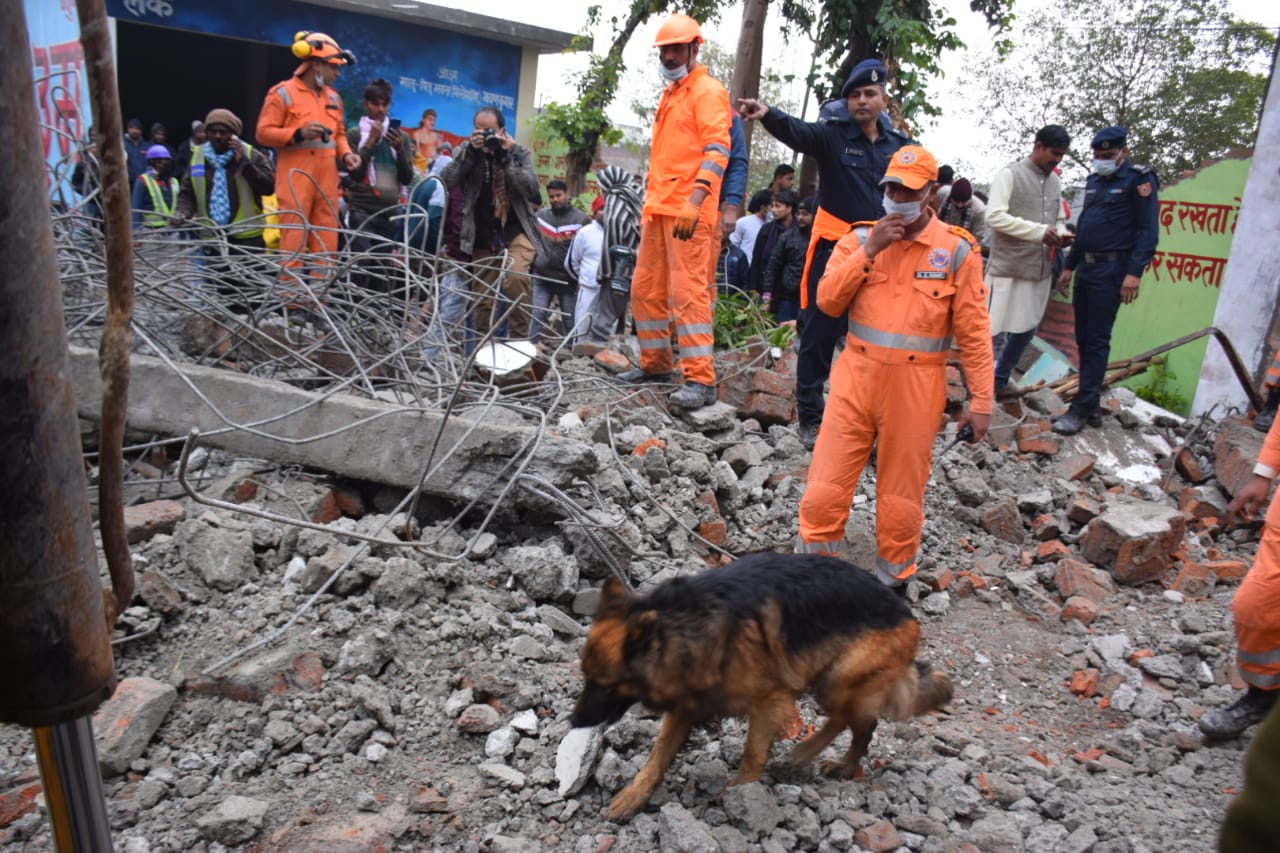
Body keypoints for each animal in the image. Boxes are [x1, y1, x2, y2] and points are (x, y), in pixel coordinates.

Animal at [570, 548, 952, 819]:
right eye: (585, 676)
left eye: (606, 685)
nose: (573, 721)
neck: (681, 625)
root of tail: (906, 615)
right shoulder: (688, 700)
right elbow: (658, 754)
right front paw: (633, 796)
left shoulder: (770, 702)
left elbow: (753, 753)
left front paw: (741, 792)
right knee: (862, 724)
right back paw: (842, 765)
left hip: (837, 677)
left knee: (849, 719)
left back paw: (806, 753)